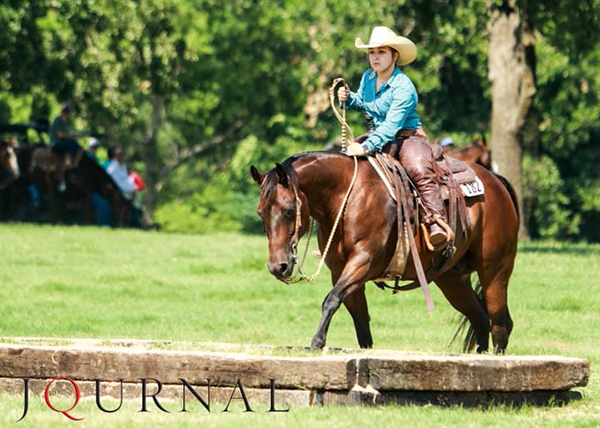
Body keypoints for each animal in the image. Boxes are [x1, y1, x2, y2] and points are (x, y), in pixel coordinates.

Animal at [251, 151, 516, 354]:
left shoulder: (363, 261)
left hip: (494, 270)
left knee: (499, 322)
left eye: (288, 210)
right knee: (480, 318)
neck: (347, 197)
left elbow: (331, 300)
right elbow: (359, 318)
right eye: (260, 213)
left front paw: (317, 342)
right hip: (452, 279)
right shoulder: (340, 271)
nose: (278, 266)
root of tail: (495, 181)